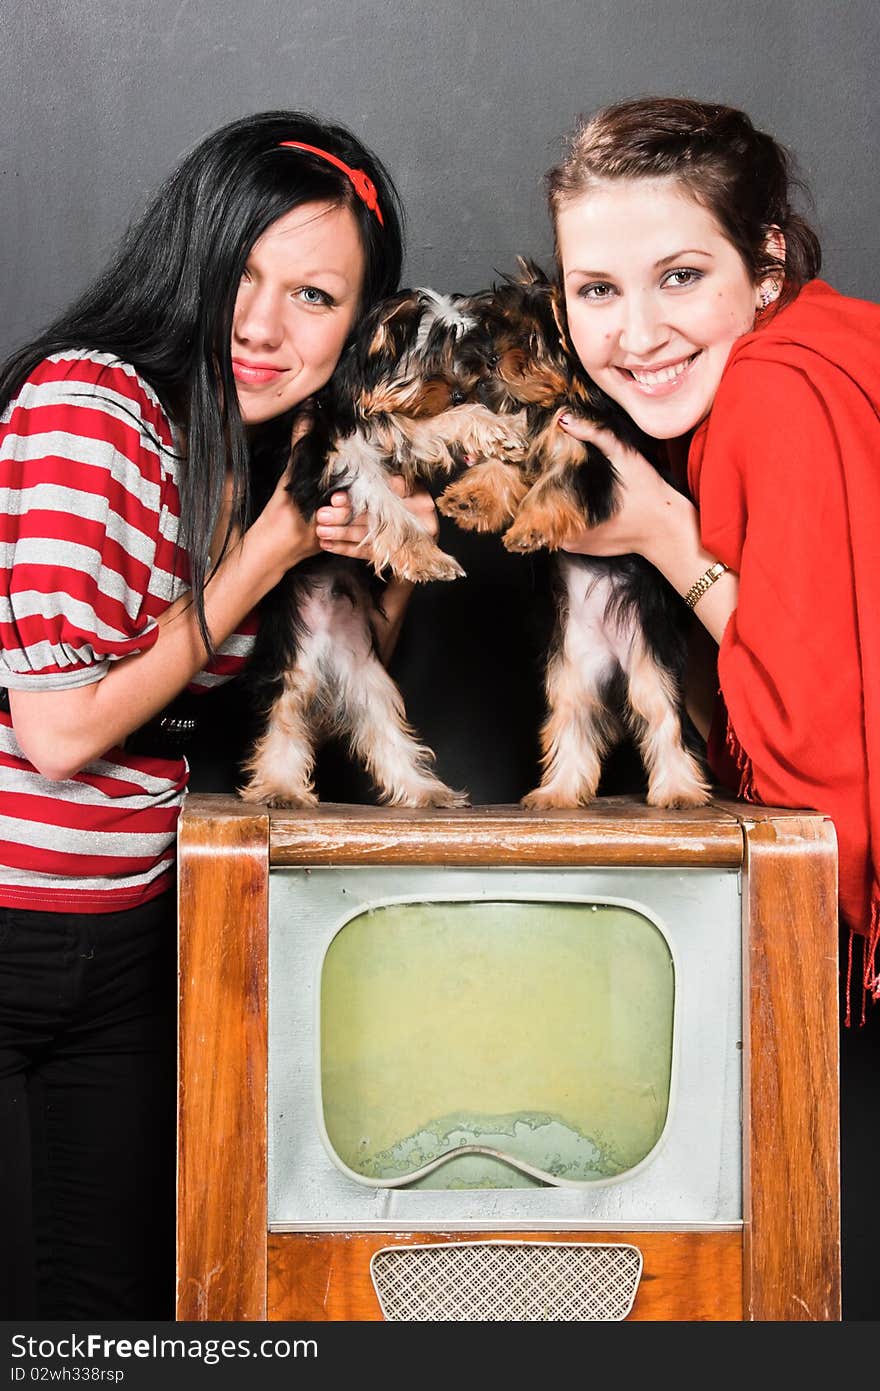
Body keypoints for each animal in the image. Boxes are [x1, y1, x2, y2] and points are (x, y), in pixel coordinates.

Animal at [234, 283, 522, 812]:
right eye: (431, 354)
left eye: (467, 354)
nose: (462, 391)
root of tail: (327, 665)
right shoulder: (336, 458)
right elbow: (389, 499)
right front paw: (429, 557)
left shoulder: (392, 432)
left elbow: (425, 426)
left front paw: (495, 425)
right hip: (291, 660)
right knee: (284, 715)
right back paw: (280, 788)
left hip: (369, 679)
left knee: (384, 727)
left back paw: (424, 791)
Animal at [436, 261, 711, 812]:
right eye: (495, 331)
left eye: (529, 338)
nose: (490, 358)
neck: (551, 401)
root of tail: (615, 662)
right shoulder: (524, 435)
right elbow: (502, 467)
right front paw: (471, 499)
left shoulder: (585, 449)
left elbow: (555, 483)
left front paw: (531, 528)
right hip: (572, 667)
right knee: (574, 716)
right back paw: (558, 791)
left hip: (650, 658)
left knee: (661, 715)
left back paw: (678, 791)